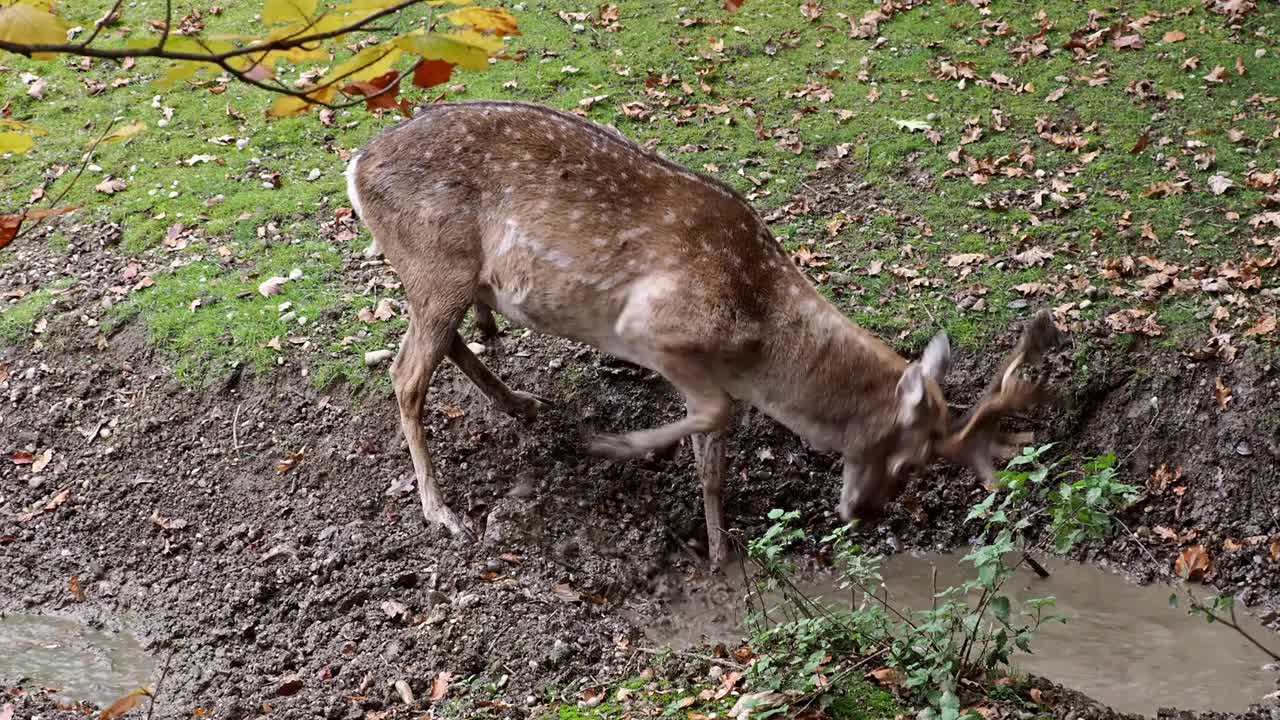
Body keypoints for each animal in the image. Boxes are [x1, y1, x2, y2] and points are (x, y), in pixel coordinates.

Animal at [345, 98, 1054, 563]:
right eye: (909, 462)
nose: (864, 513)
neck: (758, 337)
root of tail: (354, 165)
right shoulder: (651, 330)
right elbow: (714, 417)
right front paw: (617, 446)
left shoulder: (710, 371)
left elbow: (713, 459)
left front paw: (719, 551)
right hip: (436, 264)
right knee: (405, 374)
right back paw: (442, 511)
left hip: (447, 281)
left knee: (444, 345)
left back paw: (520, 404)